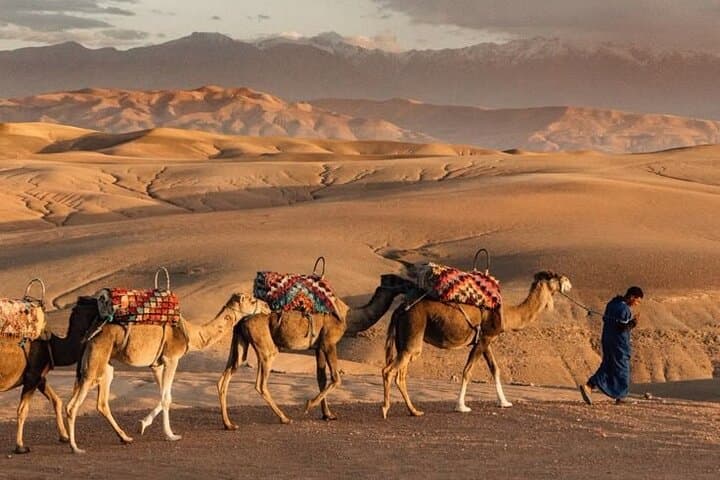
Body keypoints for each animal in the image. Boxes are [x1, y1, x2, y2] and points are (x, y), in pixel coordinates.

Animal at [0, 296, 98, 453]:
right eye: (97, 302)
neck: (52, 344)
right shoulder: (32, 375)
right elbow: (22, 410)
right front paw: (20, 446)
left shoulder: (40, 377)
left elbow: (56, 400)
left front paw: (64, 437)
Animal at [65, 292, 264, 454]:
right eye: (252, 300)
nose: (266, 306)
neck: (190, 333)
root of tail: (90, 333)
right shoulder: (172, 358)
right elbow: (166, 398)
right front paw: (171, 435)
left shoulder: (157, 364)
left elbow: (164, 395)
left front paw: (143, 425)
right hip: (96, 359)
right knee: (73, 405)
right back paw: (75, 447)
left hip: (106, 365)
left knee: (100, 402)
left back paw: (125, 437)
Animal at [218, 274, 415, 428]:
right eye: (397, 279)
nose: (412, 285)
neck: (348, 317)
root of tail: (242, 320)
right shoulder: (329, 342)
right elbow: (336, 378)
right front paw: (309, 405)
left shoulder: (318, 347)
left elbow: (322, 378)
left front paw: (328, 414)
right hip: (265, 346)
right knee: (260, 383)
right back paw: (284, 418)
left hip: (240, 342)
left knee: (226, 376)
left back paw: (229, 424)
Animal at [381, 270, 572, 418]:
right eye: (555, 275)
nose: (569, 282)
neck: (506, 314)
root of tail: (399, 309)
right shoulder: (484, 338)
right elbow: (467, 371)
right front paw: (461, 406)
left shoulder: (486, 340)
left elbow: (495, 369)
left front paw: (504, 402)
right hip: (413, 331)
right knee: (389, 370)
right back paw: (385, 409)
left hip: (404, 340)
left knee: (401, 374)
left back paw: (414, 411)